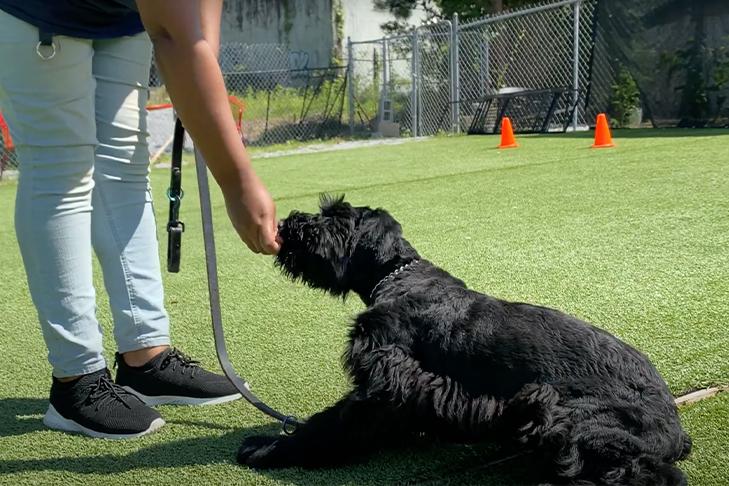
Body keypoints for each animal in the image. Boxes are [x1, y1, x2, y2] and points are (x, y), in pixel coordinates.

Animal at [236, 196, 692, 484]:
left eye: (337, 217)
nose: (286, 224)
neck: (397, 274)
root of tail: (674, 427)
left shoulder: (384, 382)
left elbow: (334, 425)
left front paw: (270, 450)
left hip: (563, 415)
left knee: (647, 474)